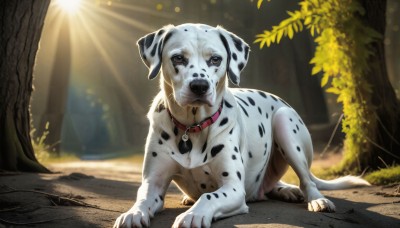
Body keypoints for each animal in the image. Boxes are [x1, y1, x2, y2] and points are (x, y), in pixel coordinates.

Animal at [113, 23, 368, 228]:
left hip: (285, 123)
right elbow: (143, 197)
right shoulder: (153, 183)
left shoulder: (234, 188)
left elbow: (209, 196)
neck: (191, 128)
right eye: (178, 58)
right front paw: (133, 213)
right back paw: (285, 190)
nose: (199, 86)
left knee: (307, 180)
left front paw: (193, 215)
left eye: (215, 59)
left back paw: (315, 199)